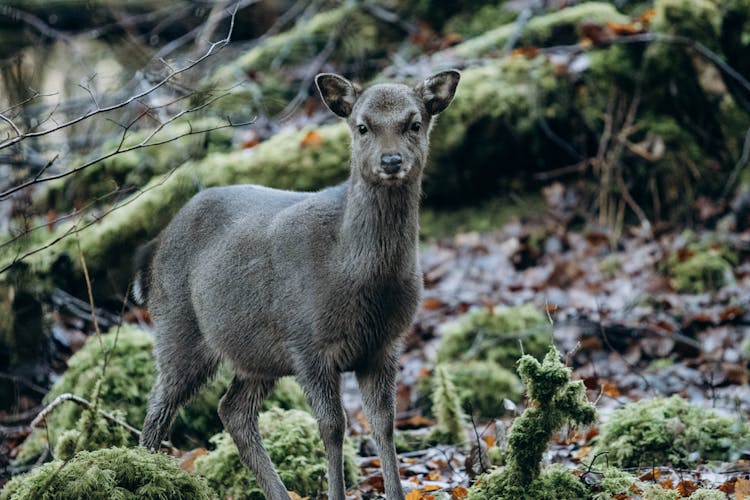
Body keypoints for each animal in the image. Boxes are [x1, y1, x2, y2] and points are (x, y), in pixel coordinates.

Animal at [136, 68, 462, 498]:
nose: (391, 160)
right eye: (362, 126)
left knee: (232, 409)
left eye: (414, 123)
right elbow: (334, 426)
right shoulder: (307, 341)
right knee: (159, 405)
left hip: (257, 356)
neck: (355, 275)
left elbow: (384, 425)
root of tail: (155, 246)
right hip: (177, 326)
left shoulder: (384, 345)